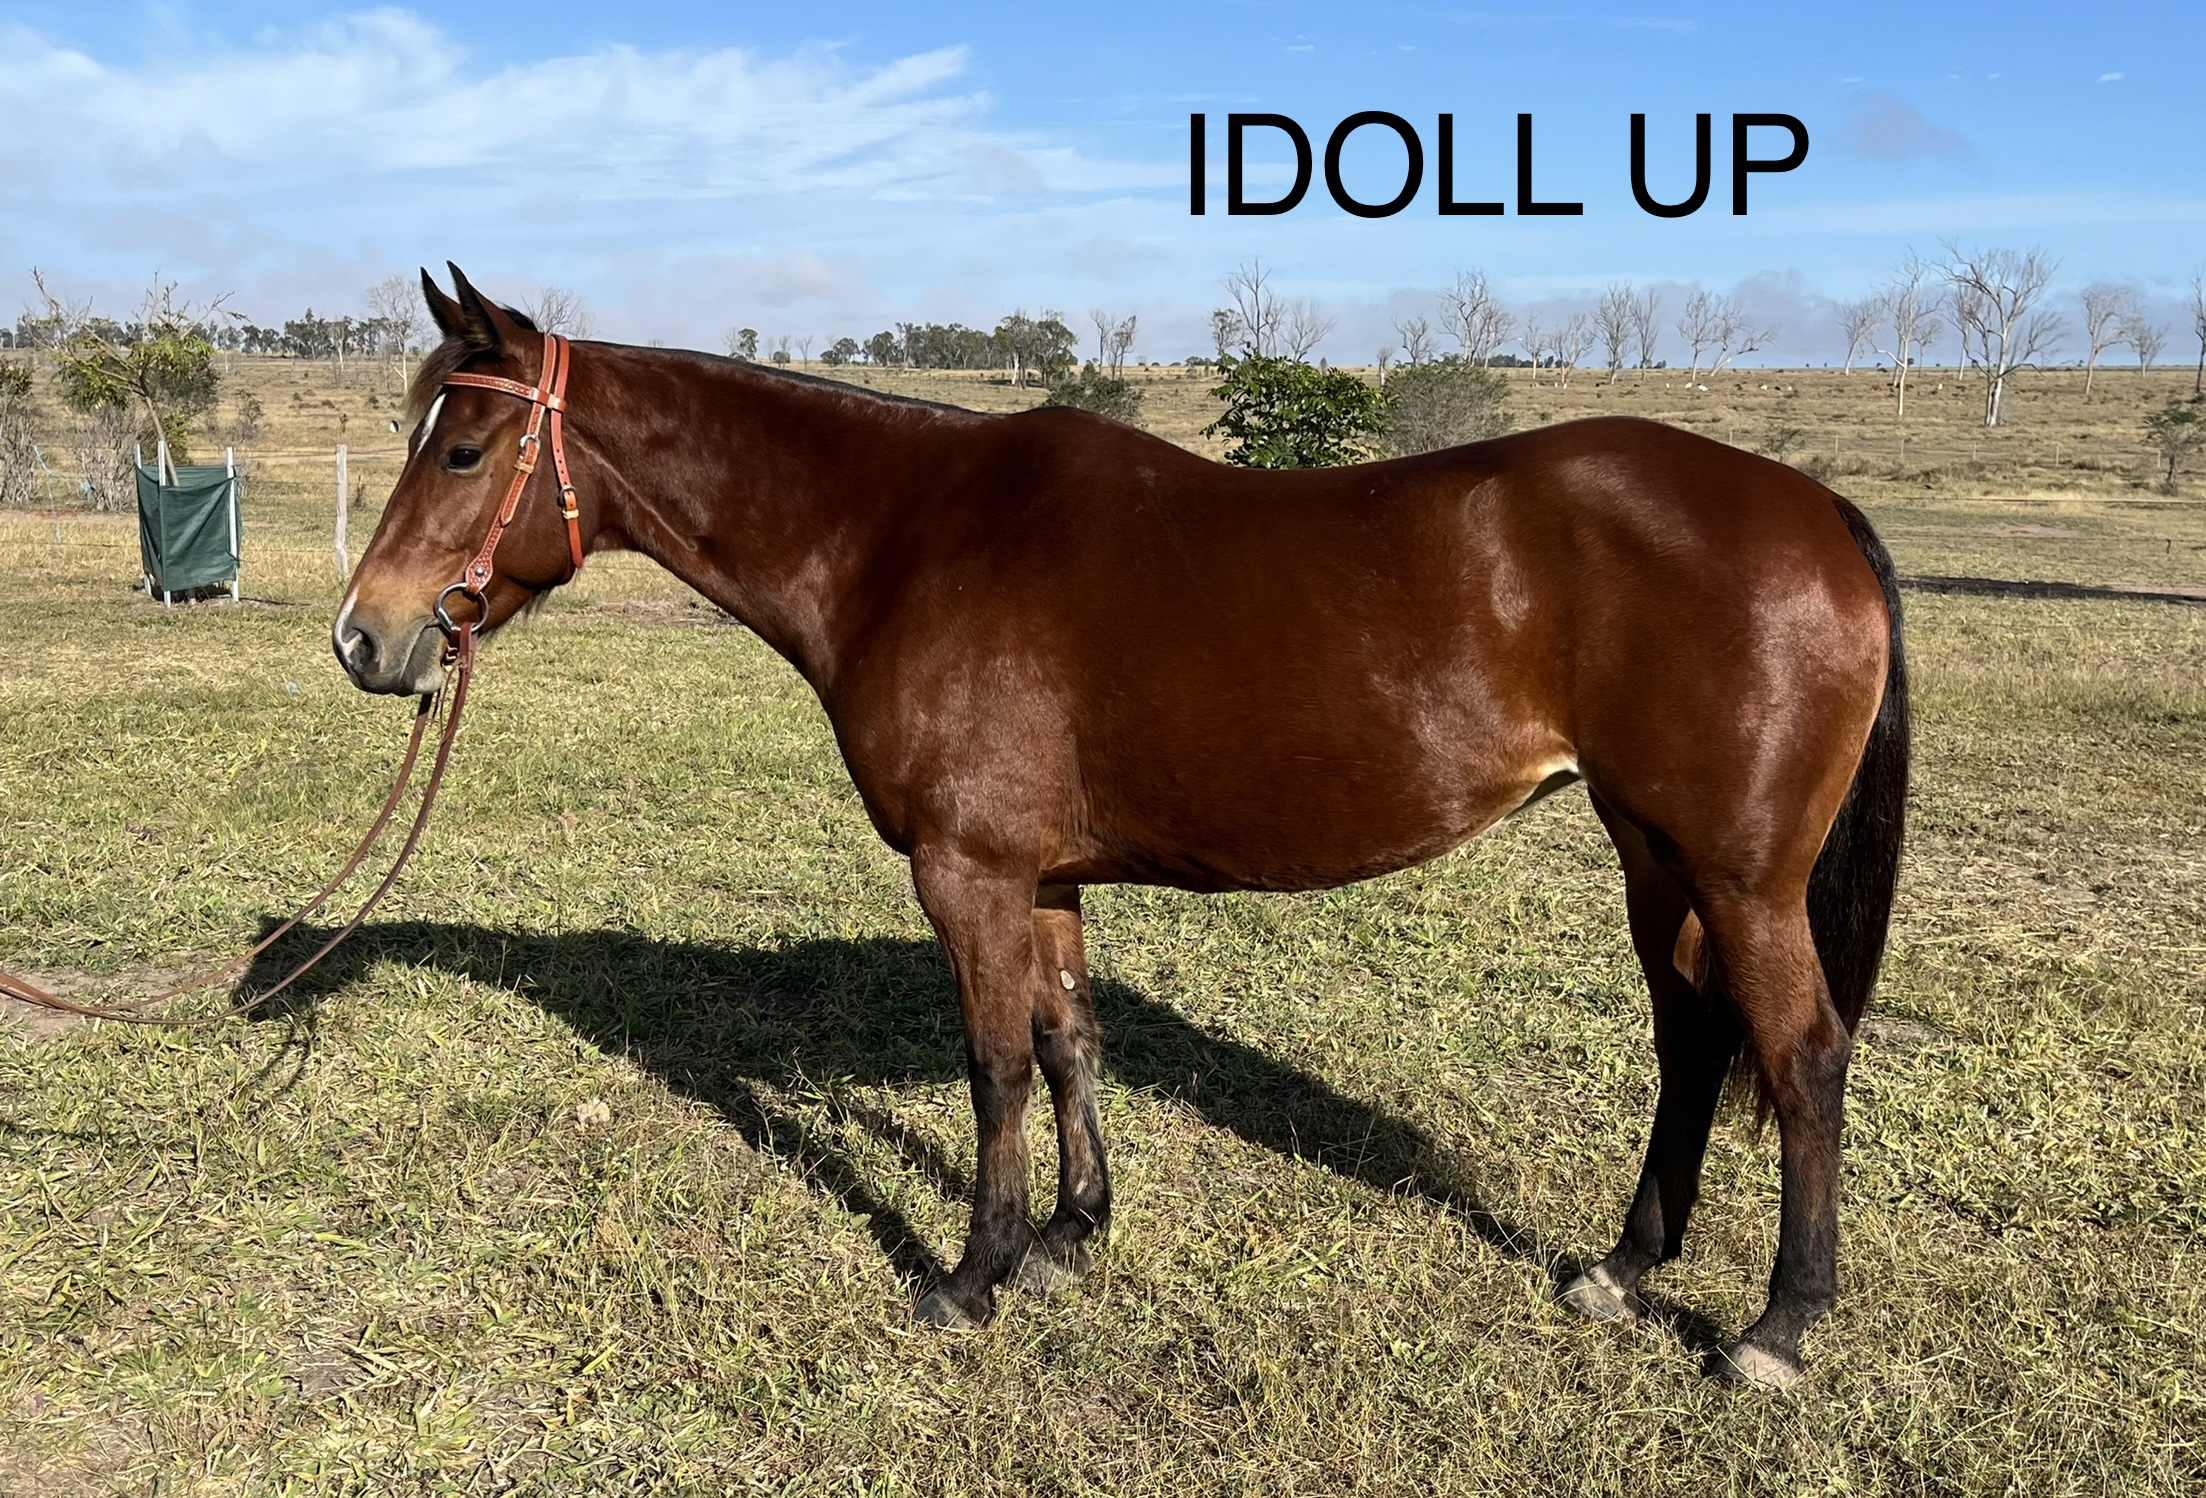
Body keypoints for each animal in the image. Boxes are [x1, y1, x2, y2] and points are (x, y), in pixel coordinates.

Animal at [335, 267, 1907, 1389]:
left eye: (464, 447)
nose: (366, 639)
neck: (903, 538)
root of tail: (1812, 508)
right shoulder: (1038, 875)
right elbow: (1067, 1040)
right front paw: (1070, 1238)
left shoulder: (964, 873)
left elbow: (990, 1067)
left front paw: (970, 1275)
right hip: (1656, 857)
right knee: (1692, 1040)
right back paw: (1623, 1270)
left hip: (1739, 874)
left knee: (1800, 1056)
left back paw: (1775, 1329)